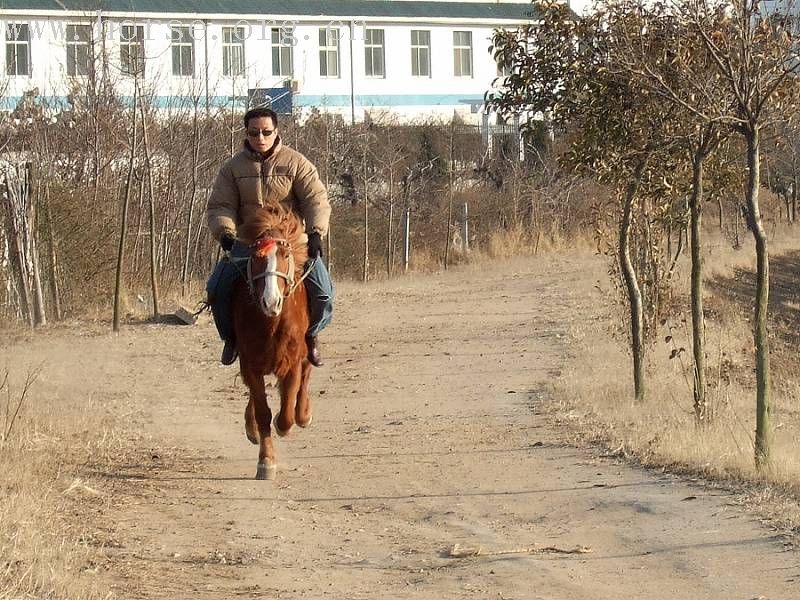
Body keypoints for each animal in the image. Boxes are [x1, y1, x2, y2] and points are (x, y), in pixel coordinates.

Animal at [231, 205, 312, 478]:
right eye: (255, 257)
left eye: (285, 254)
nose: (271, 301)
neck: (271, 323)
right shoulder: (251, 364)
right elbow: (262, 411)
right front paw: (266, 461)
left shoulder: (292, 362)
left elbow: (286, 411)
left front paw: (285, 423)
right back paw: (252, 428)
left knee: (306, 374)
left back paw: (304, 415)